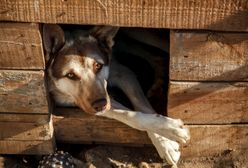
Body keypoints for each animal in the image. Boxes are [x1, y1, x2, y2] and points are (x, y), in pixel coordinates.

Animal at [43, 24, 190, 167]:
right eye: (70, 75)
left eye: (98, 65)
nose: (100, 105)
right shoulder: (76, 100)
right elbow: (130, 115)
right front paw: (170, 133)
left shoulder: (124, 74)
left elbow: (142, 107)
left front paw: (165, 139)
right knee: (156, 57)